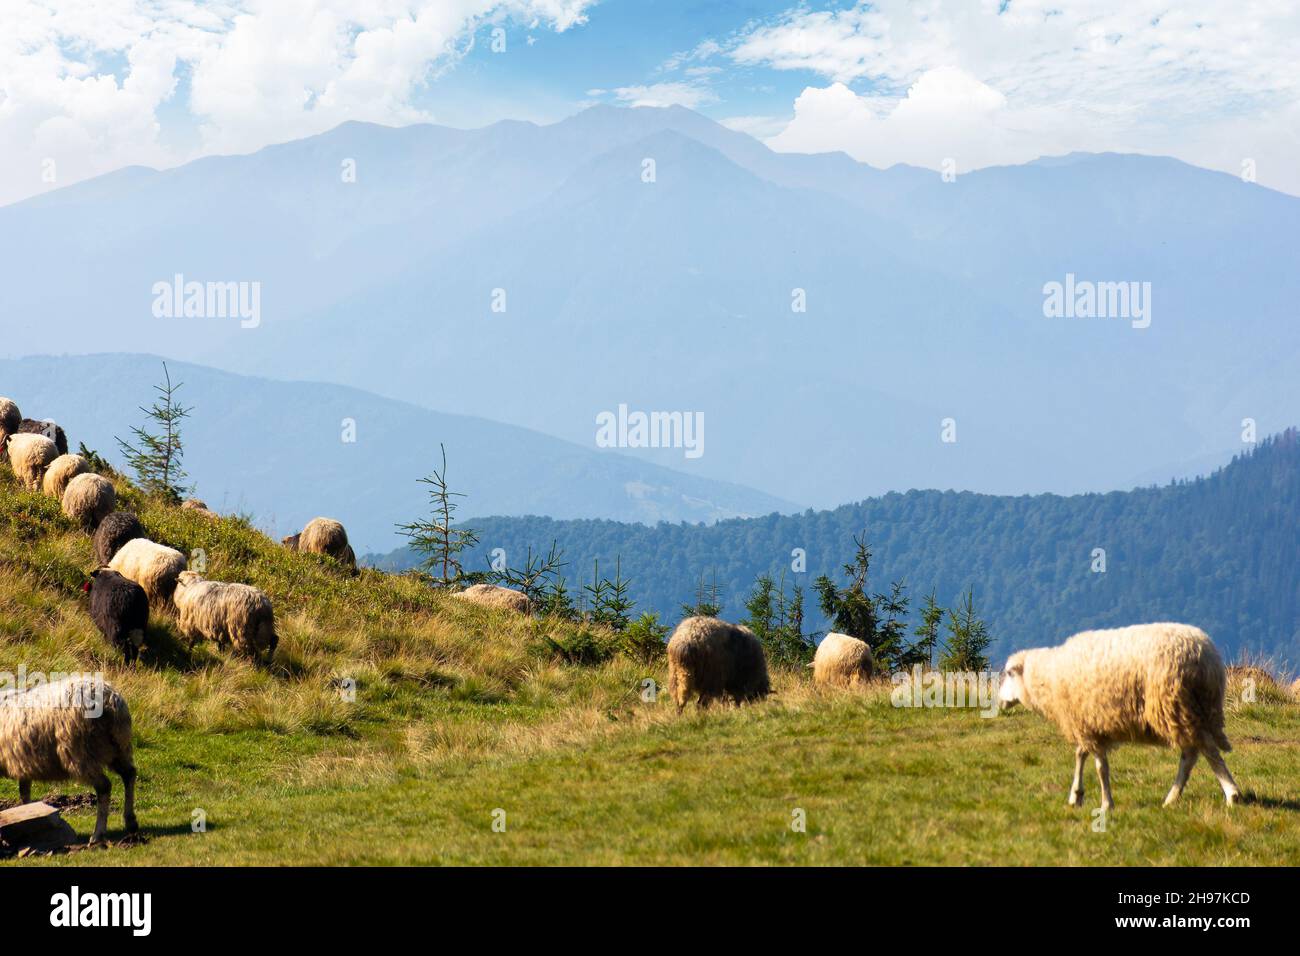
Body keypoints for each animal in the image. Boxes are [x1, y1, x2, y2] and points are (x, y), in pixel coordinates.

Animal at [0, 676, 137, 844]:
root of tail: (109, 698)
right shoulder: (23, 764)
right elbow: (24, 793)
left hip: (80, 750)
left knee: (104, 786)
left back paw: (98, 834)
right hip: (118, 746)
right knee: (129, 774)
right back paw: (131, 822)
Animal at [997, 622, 1240, 810]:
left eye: (1009, 673)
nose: (999, 701)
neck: (1049, 678)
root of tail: (1207, 657)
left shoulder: (1088, 724)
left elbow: (1100, 768)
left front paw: (1106, 803)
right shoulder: (1089, 724)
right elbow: (1080, 755)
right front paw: (1076, 795)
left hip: (1175, 704)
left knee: (1205, 750)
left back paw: (1232, 794)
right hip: (1190, 709)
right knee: (1191, 754)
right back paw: (1172, 798)